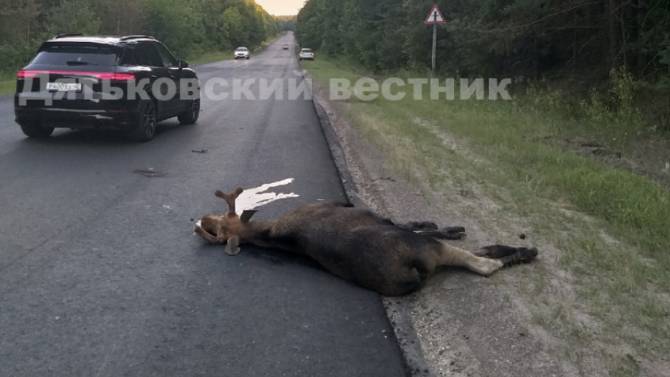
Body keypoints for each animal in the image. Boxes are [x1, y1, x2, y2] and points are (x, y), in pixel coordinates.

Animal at [194, 187, 540, 296]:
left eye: (221, 219)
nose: (201, 221)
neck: (269, 231)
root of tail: (408, 271)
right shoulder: (356, 208)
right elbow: (416, 225)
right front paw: (446, 225)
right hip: (428, 252)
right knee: (481, 263)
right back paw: (526, 250)